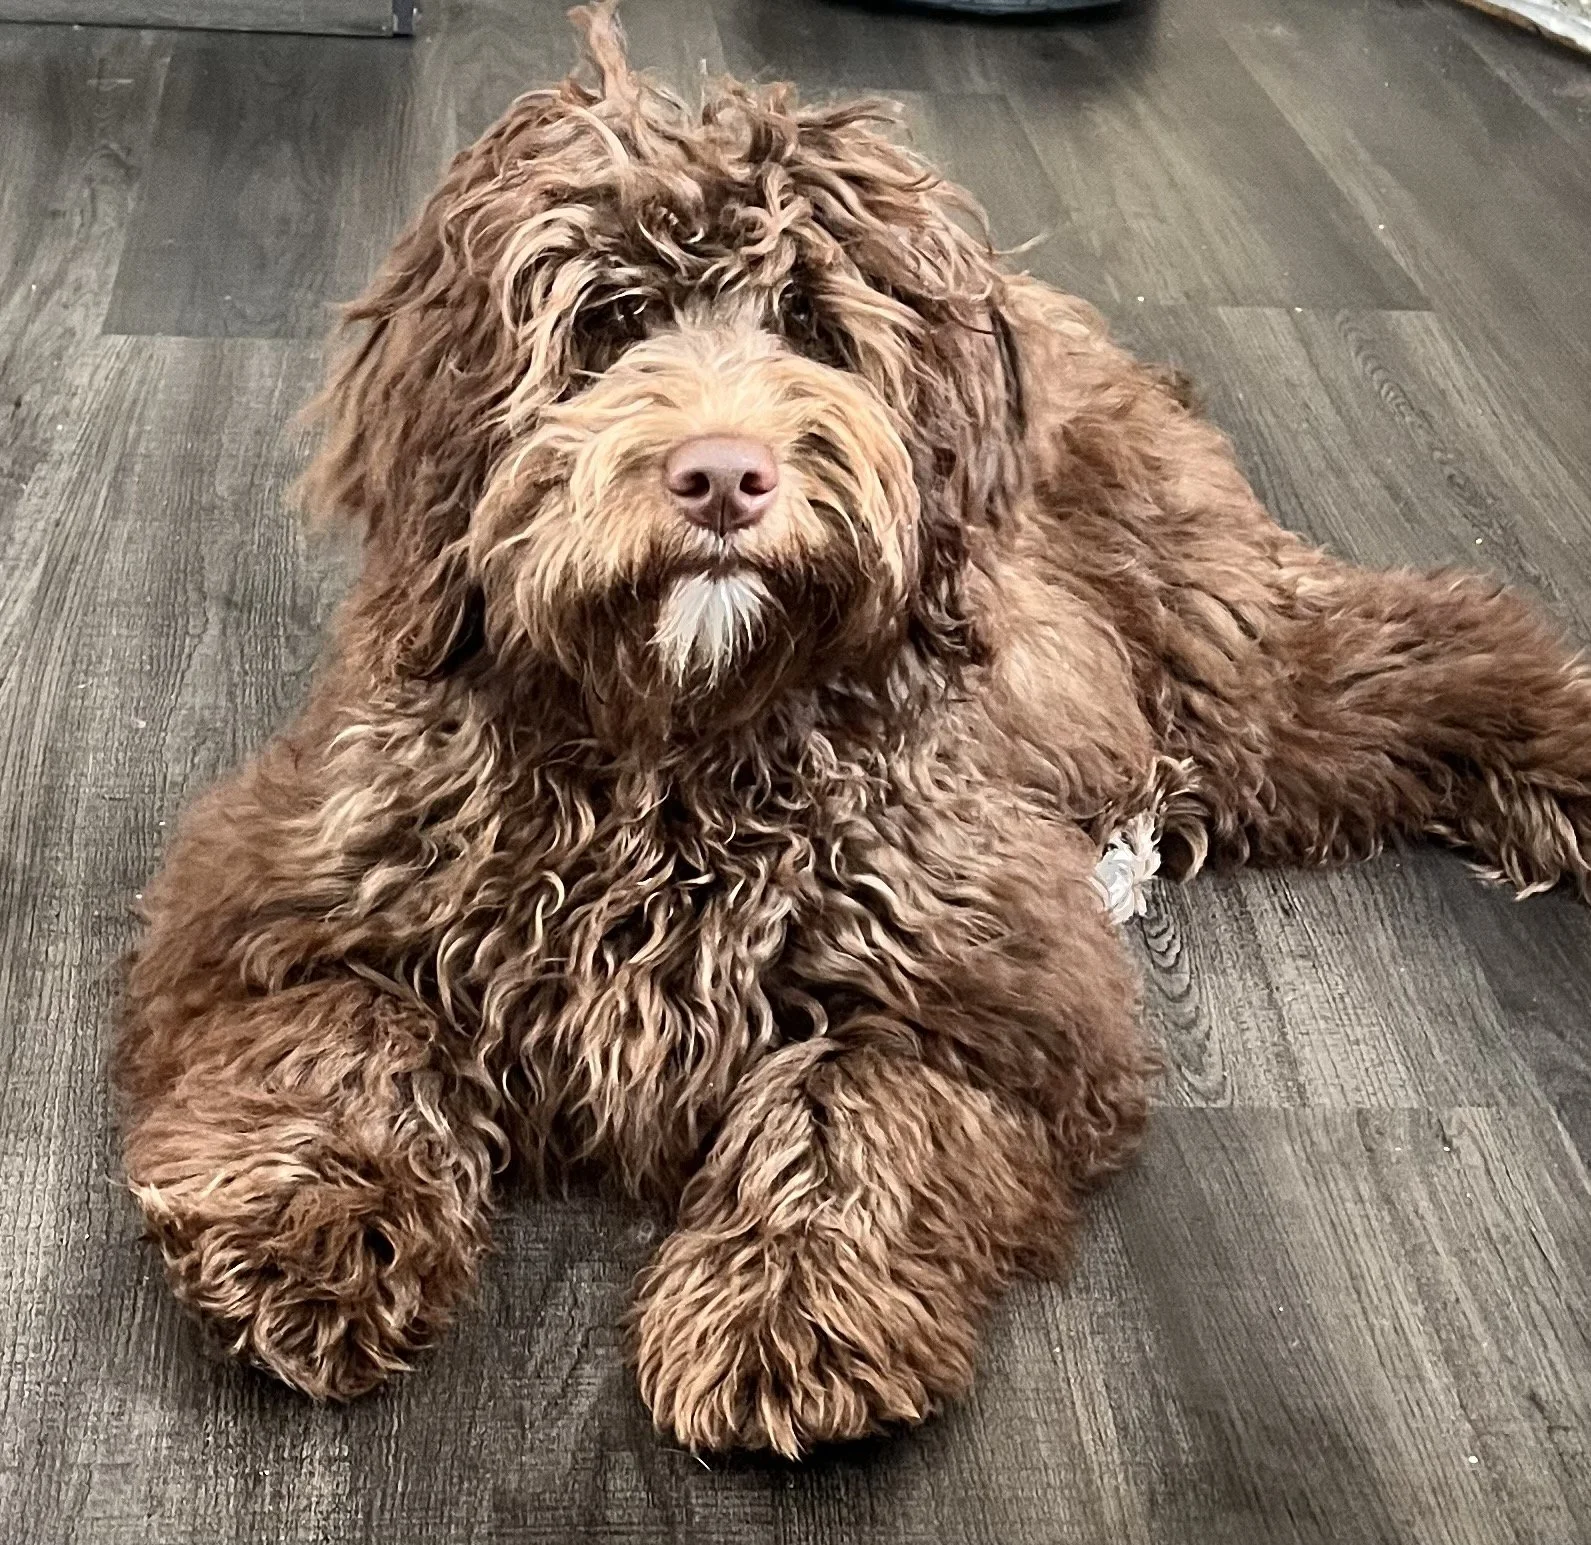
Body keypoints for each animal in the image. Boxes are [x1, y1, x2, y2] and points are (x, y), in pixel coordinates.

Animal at [114, 2, 1591, 1458]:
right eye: (608, 324)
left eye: (812, 324)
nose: (722, 476)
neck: (679, 747)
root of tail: (1042, 310)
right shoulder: (276, 899)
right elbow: (340, 1031)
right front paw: (309, 1230)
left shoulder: (991, 992)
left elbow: (855, 1102)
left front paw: (788, 1309)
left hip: (1219, 644)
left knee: (1434, 644)